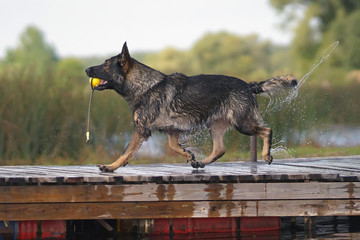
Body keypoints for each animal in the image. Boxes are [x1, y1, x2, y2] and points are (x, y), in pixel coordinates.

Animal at [86, 42, 296, 172]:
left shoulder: (142, 130)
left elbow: (126, 151)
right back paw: (201, 163)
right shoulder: (172, 130)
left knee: (266, 130)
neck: (145, 86)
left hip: (242, 124)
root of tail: (248, 85)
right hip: (215, 126)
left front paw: (111, 167)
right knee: (220, 149)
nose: (86, 69)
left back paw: (266, 155)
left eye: (105, 64)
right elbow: (173, 146)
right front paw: (189, 155)